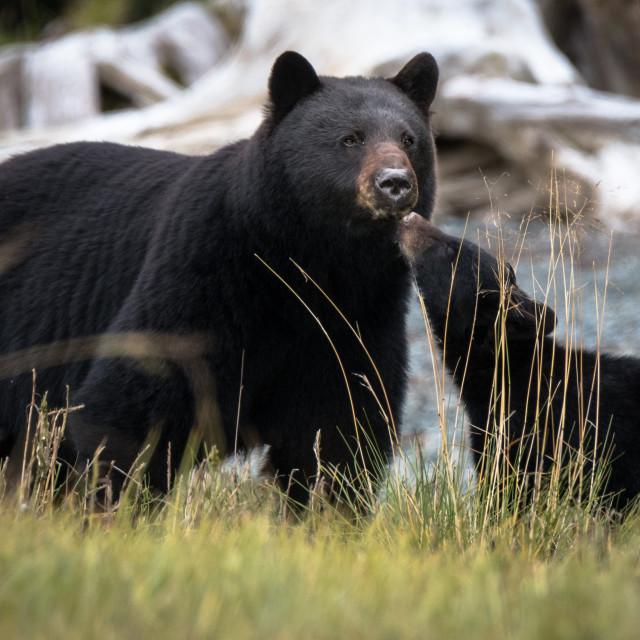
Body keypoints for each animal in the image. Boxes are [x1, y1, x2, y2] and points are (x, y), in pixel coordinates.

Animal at [0, 52, 440, 502]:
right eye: (350, 139)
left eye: (409, 140)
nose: (395, 182)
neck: (305, 266)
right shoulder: (201, 278)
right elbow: (134, 404)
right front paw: (114, 503)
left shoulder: (357, 318)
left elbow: (338, 430)